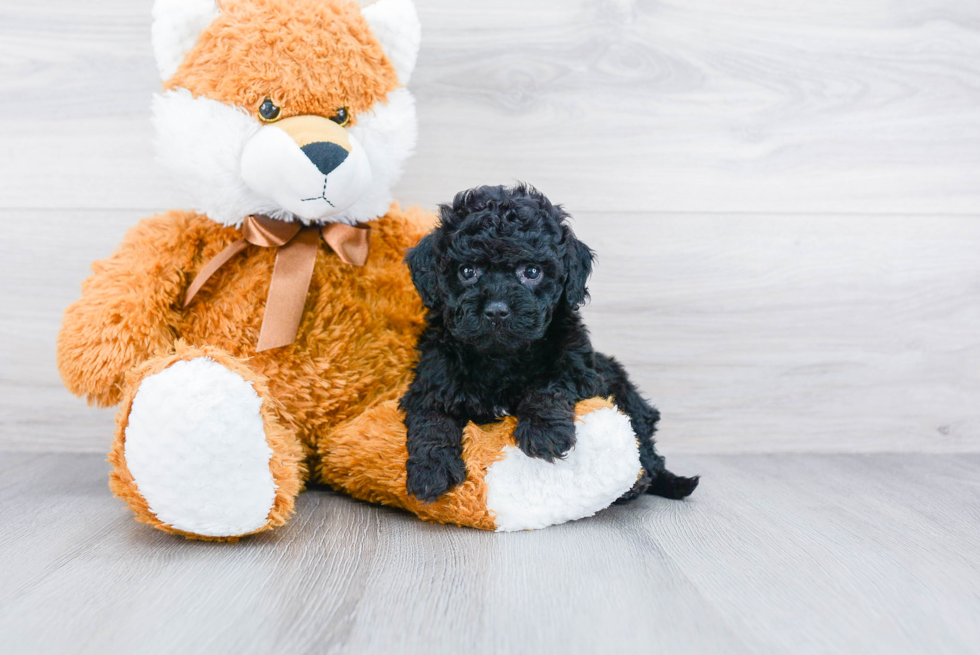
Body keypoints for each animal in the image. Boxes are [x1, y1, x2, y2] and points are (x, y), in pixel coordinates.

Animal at [398, 184, 696, 502]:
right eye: (467, 271)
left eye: (531, 272)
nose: (496, 311)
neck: (501, 358)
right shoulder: (430, 383)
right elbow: (432, 419)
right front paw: (431, 470)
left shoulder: (578, 369)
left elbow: (549, 387)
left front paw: (544, 433)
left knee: (647, 452)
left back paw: (639, 484)